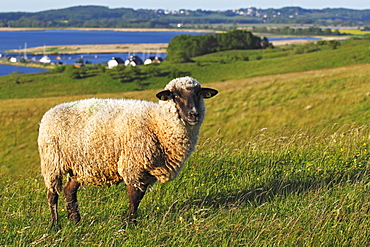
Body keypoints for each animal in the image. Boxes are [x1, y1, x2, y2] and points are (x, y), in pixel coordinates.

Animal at [38, 75, 217, 228]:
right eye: (175, 95)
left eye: (198, 94)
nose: (194, 114)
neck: (157, 123)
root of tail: (50, 112)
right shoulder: (133, 165)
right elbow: (135, 197)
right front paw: (130, 224)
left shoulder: (146, 171)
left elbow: (139, 197)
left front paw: (130, 222)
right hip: (52, 162)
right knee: (52, 194)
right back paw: (55, 225)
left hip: (78, 166)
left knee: (69, 191)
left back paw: (75, 220)